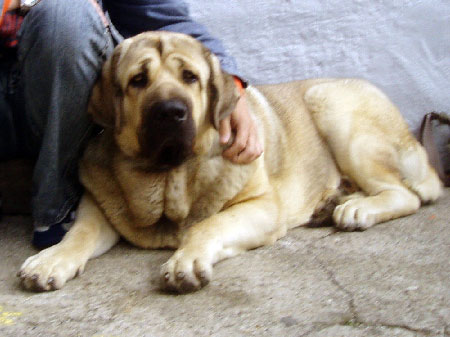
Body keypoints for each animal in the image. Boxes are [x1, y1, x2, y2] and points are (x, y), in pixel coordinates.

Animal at [18, 32, 442, 292]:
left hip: (332, 107)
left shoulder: (261, 206)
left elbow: (205, 227)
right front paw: (50, 261)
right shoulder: (99, 207)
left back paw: (356, 209)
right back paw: (332, 203)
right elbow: (79, 234)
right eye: (138, 80)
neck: (170, 177)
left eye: (190, 77)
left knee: (405, 194)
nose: (171, 112)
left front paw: (185, 260)